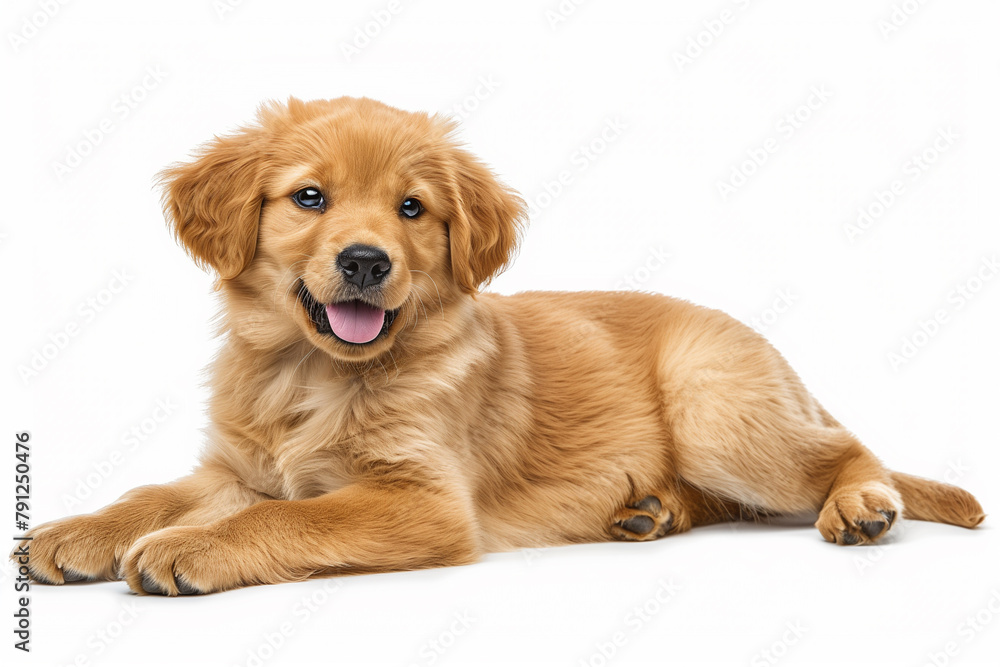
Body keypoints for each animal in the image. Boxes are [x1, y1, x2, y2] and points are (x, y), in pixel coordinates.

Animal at [15, 95, 984, 596]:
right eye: (309, 197)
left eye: (411, 209)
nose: (365, 261)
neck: (312, 372)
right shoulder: (232, 466)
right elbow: (153, 493)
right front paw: (75, 530)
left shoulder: (425, 499)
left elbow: (287, 515)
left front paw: (185, 548)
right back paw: (649, 510)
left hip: (718, 408)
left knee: (849, 449)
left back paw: (862, 504)